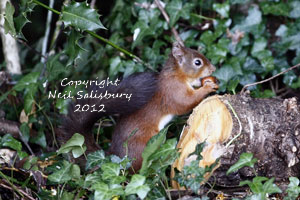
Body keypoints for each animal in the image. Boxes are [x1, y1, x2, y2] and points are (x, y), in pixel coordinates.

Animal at [58, 42, 218, 170]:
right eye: (197, 62)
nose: (213, 68)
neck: (177, 75)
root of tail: (115, 158)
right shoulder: (174, 91)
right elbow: (186, 102)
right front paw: (207, 87)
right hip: (145, 144)